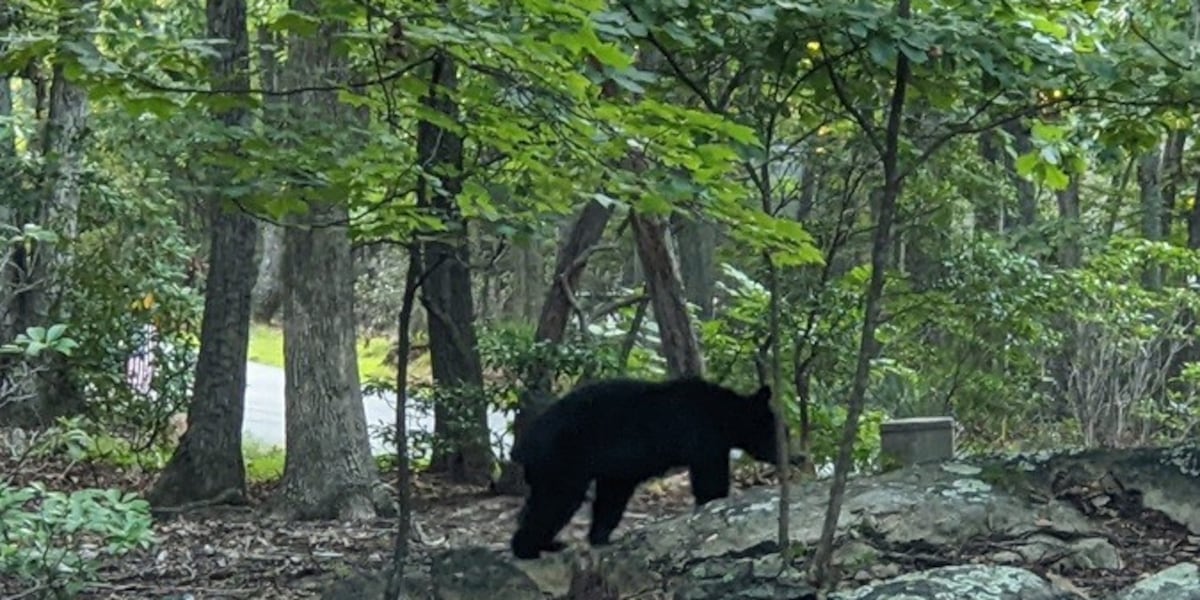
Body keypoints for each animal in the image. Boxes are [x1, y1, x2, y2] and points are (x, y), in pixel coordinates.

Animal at [509, 375, 781, 560]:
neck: (723, 414)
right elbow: (710, 479)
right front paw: (714, 503)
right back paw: (528, 549)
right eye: (780, 434)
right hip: (563, 461)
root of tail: (523, 446)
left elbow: (611, 499)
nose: (790, 457)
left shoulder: (618, 469)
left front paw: (600, 538)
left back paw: (547, 543)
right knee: (555, 502)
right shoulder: (702, 438)